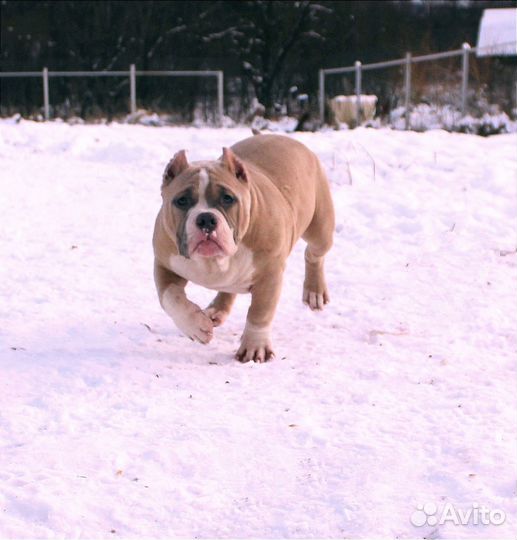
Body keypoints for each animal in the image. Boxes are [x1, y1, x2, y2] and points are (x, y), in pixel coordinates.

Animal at [151, 134, 332, 362]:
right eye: (182, 200)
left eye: (227, 198)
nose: (206, 218)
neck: (213, 262)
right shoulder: (164, 263)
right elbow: (170, 298)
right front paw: (196, 326)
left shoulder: (269, 276)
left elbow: (259, 312)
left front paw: (255, 347)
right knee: (228, 288)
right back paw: (216, 311)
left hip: (320, 229)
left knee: (314, 254)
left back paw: (314, 291)